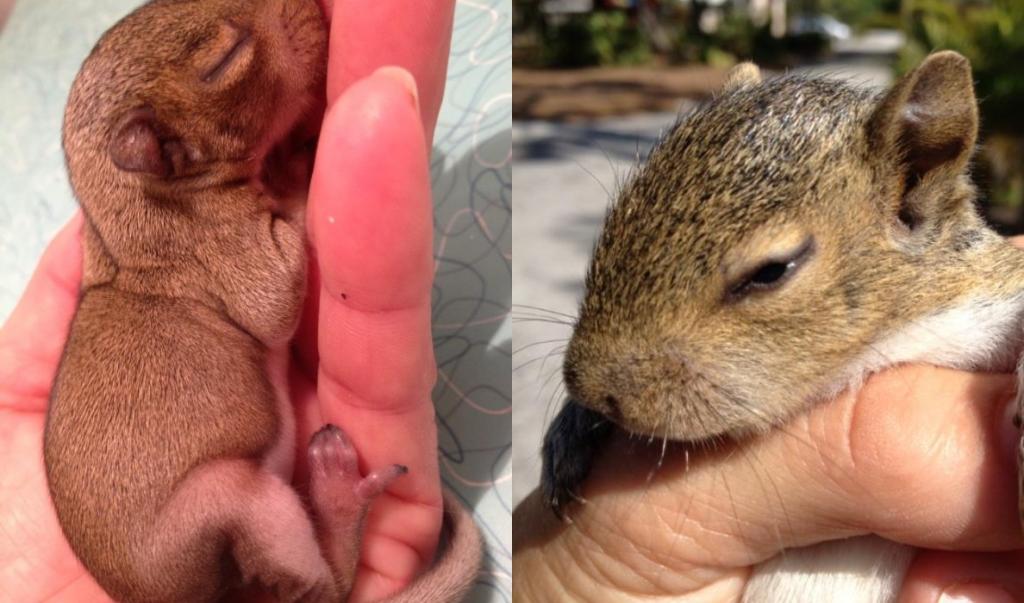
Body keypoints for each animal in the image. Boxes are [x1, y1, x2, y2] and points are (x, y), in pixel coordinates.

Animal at [45, 1, 483, 601]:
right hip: (233, 502)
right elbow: (272, 301)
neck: (120, 225)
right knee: (326, 588)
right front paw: (291, 173)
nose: (314, 7)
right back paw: (337, 500)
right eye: (225, 59)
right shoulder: (219, 246)